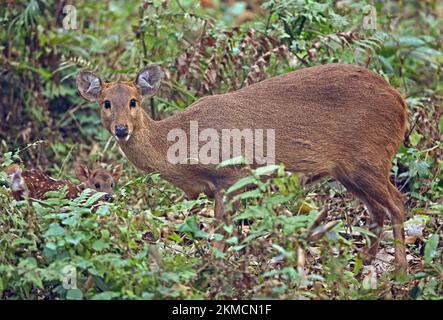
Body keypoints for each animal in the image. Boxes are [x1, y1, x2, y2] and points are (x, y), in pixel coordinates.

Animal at [77, 63, 410, 272]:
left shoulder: (230, 177)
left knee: (397, 203)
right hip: (349, 170)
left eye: (134, 101)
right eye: (106, 102)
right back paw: (365, 262)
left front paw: (214, 271)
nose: (121, 129)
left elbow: (222, 234)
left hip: (369, 158)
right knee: (377, 210)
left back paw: (400, 270)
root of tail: (401, 102)